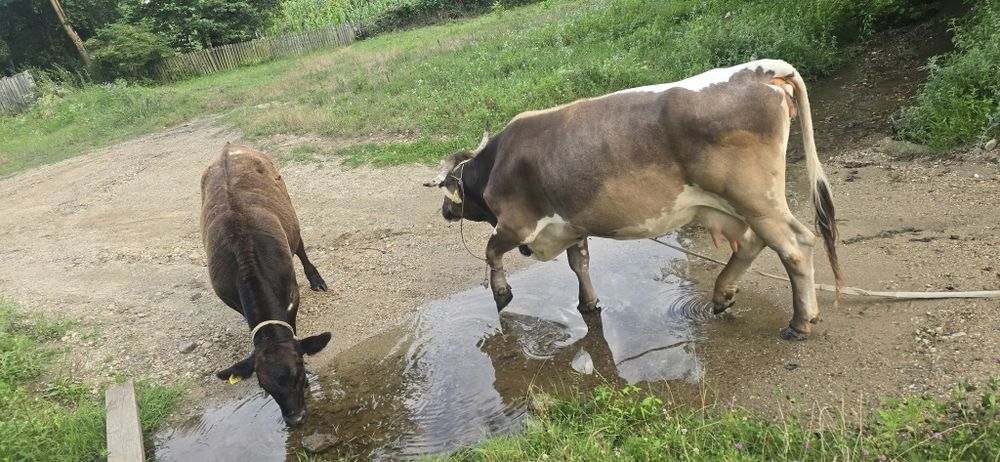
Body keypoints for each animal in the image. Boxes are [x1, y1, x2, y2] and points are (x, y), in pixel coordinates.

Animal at [200, 143, 331, 426]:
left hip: (290, 214)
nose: (295, 419)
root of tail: (229, 146)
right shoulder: (234, 302)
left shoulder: (292, 295)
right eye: (264, 386)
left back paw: (316, 279)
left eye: (300, 374)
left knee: (300, 245)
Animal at [424, 59, 841, 341]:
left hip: (756, 198)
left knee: (796, 246)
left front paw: (502, 293)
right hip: (738, 205)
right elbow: (580, 264)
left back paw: (799, 322)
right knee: (755, 242)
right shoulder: (572, 225)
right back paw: (723, 294)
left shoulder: (516, 223)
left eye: (449, 194)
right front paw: (588, 304)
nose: (445, 211)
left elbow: (491, 251)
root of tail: (761, 70)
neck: (497, 163)